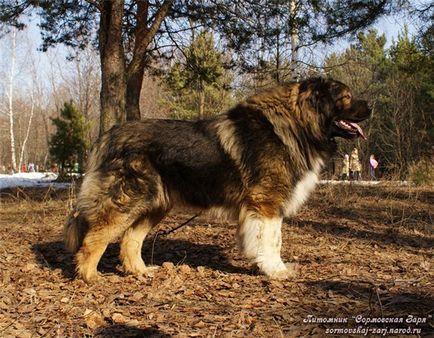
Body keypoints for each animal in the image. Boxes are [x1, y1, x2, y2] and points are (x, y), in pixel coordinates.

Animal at [64, 77, 370, 282]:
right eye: (346, 96)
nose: (371, 106)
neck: (297, 124)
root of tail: (110, 135)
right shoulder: (266, 203)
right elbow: (273, 240)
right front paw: (276, 270)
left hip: (154, 204)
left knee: (130, 239)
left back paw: (141, 271)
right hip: (127, 201)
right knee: (95, 238)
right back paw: (90, 276)